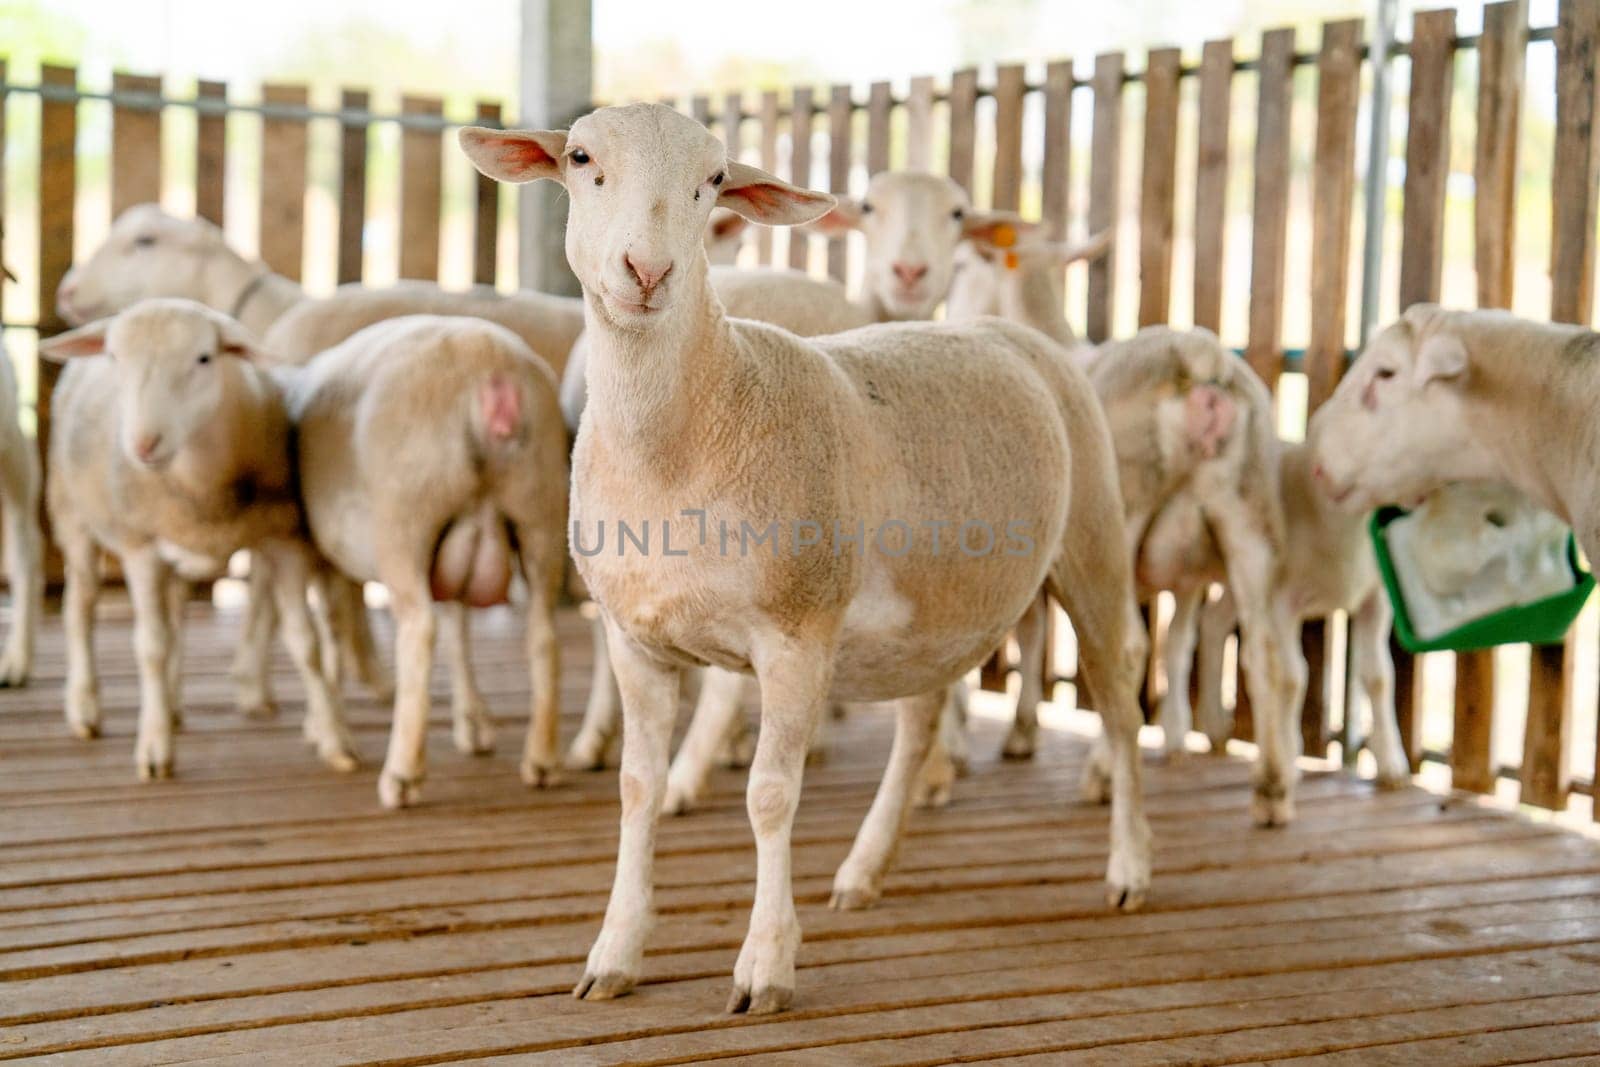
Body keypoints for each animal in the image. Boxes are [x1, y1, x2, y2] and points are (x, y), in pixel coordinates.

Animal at [39, 295, 358, 780]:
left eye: (205, 358)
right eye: (113, 357)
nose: (144, 444)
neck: (203, 485)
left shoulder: (283, 540)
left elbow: (307, 645)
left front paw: (336, 742)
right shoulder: (141, 549)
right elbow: (150, 646)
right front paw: (154, 750)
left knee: (176, 621)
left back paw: (170, 706)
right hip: (72, 515)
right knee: (80, 609)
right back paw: (85, 708)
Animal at [284, 313, 572, 806]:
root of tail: (491, 372)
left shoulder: (322, 552)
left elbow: (335, 627)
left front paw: (323, 726)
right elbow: (457, 630)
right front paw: (471, 720)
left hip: (405, 521)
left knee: (418, 630)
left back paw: (401, 773)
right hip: (541, 511)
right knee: (543, 635)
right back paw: (543, 760)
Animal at [464, 102, 1152, 1017]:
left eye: (715, 178)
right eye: (579, 158)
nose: (648, 270)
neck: (691, 427)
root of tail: (1010, 331)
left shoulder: (794, 636)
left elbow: (769, 795)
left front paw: (765, 964)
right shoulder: (635, 639)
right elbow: (638, 787)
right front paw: (615, 952)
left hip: (1095, 546)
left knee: (1119, 703)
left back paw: (1131, 866)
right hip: (933, 608)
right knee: (920, 723)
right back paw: (865, 868)